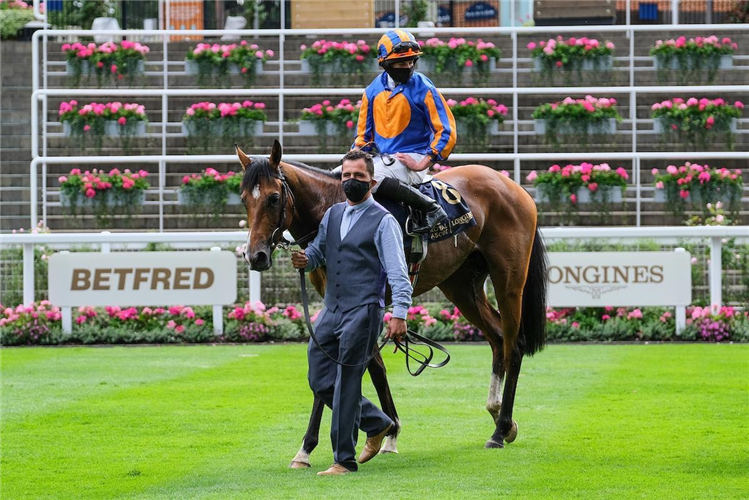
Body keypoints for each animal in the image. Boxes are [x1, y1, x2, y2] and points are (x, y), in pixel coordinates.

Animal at [237, 140, 548, 464]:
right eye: (244, 198)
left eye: (274, 198)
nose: (255, 255)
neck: (337, 208)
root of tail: (510, 184)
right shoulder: (339, 302)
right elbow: (367, 366)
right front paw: (381, 433)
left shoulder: (366, 303)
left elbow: (360, 365)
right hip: (461, 285)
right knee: (498, 339)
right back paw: (499, 416)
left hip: (508, 279)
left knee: (514, 344)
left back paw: (499, 430)